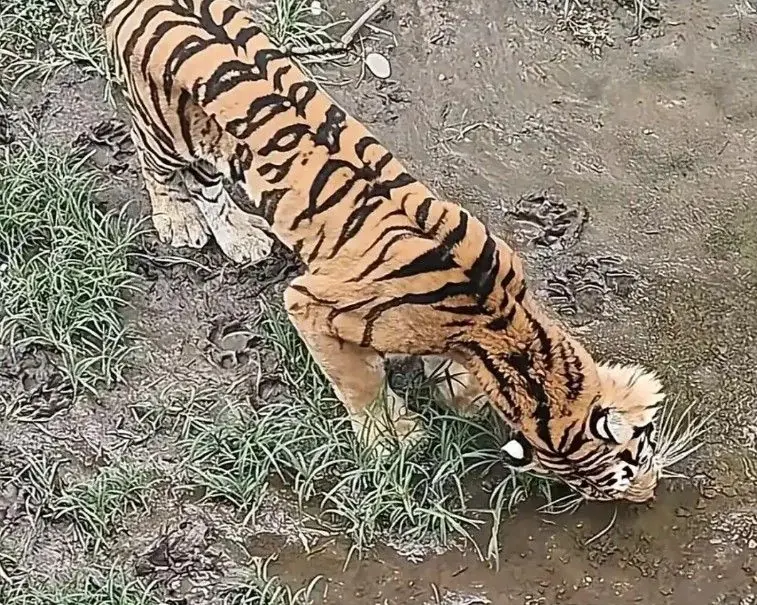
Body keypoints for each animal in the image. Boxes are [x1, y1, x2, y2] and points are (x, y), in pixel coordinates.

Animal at [103, 0, 668, 503]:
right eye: (623, 473)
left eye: (637, 458)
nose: (647, 495)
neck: (502, 322)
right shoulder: (310, 303)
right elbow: (361, 381)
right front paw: (393, 437)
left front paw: (455, 393)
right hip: (166, 131)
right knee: (157, 165)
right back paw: (179, 221)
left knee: (210, 185)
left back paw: (242, 236)